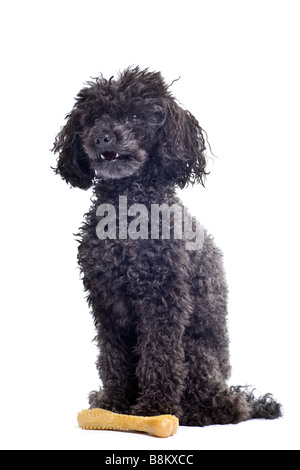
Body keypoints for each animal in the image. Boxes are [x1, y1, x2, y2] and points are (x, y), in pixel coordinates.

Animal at [52, 67, 282, 426]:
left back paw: (195, 411)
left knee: (228, 406)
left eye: (135, 116)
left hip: (197, 355)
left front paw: (154, 408)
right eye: (95, 118)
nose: (103, 137)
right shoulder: (106, 303)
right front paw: (113, 405)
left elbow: (159, 356)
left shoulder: (164, 299)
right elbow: (113, 358)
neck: (127, 213)